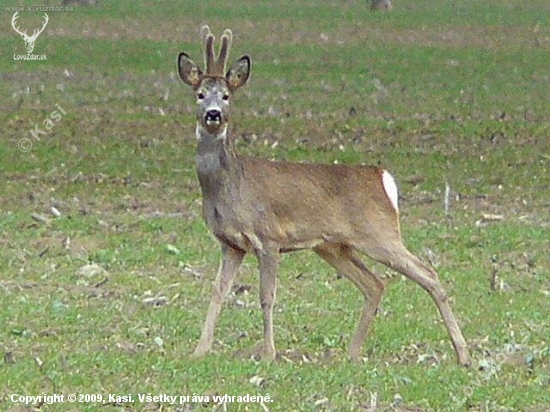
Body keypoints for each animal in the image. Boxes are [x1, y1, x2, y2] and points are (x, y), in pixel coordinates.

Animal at [179, 25, 472, 366]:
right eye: (200, 94)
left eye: (226, 96)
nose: (213, 114)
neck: (230, 187)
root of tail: (383, 178)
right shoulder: (231, 244)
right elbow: (217, 292)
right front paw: (200, 350)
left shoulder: (269, 237)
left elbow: (267, 296)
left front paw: (268, 354)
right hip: (334, 245)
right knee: (374, 284)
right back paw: (352, 353)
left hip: (379, 233)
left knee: (428, 273)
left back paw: (463, 354)